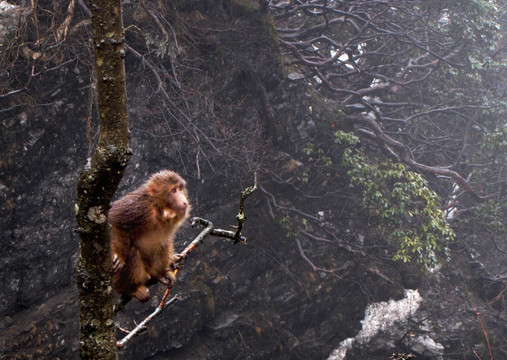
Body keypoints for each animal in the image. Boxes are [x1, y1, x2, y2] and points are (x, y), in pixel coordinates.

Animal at [108, 170, 190, 302]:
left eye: (180, 189)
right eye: (173, 191)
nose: (184, 201)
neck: (159, 210)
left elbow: (164, 241)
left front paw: (168, 266)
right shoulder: (138, 208)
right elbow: (113, 220)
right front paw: (118, 256)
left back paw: (160, 274)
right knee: (132, 252)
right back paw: (130, 289)